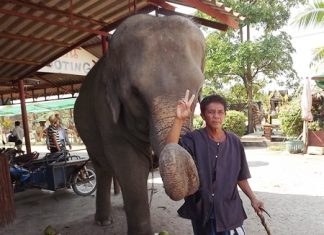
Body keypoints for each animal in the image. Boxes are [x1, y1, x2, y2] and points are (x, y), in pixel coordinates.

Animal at [73, 13, 205, 234]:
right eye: (135, 92)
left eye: (199, 88)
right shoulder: (106, 111)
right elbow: (131, 166)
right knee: (102, 168)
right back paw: (103, 221)